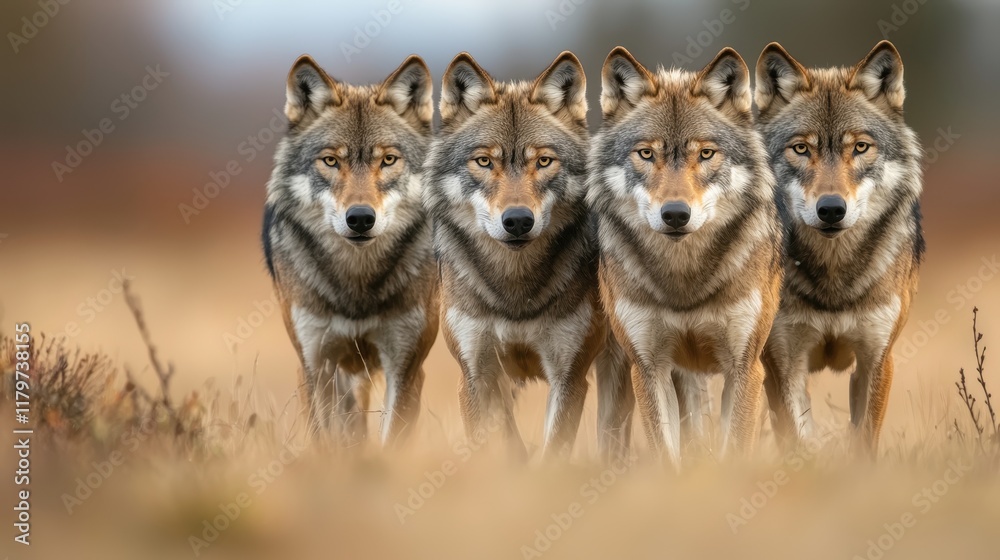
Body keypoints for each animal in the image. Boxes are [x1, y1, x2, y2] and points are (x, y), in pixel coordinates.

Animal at [262, 54, 438, 446]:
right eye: (331, 161)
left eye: (388, 160)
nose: (359, 218)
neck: (357, 284)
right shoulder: (314, 366)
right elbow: (324, 443)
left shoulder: (406, 367)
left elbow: (391, 440)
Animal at [425, 51, 633, 460]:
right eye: (485, 162)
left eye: (544, 162)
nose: (518, 220)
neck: (515, 289)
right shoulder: (476, 375)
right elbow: (504, 449)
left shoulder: (569, 375)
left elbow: (553, 451)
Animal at [588, 46, 784, 467]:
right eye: (646, 154)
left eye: (706, 154)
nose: (676, 214)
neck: (685, 281)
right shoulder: (648, 368)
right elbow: (667, 455)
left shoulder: (744, 367)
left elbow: (733, 448)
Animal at [754, 41, 923, 455]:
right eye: (801, 149)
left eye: (860, 147)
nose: (831, 208)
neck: (833, 283)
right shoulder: (783, 365)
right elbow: (799, 441)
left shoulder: (876, 360)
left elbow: (863, 442)